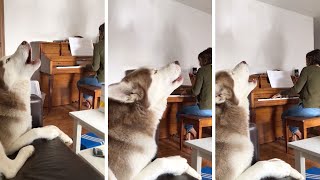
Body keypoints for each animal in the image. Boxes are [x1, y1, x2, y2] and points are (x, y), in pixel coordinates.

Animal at [0, 41, 72, 179]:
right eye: (8, 59)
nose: (24, 41)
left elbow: (50, 126)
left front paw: (65, 137)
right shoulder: (9, 146)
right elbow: (36, 131)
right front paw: (51, 132)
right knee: (10, 170)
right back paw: (27, 150)